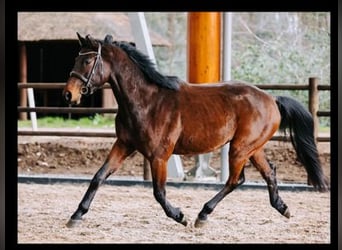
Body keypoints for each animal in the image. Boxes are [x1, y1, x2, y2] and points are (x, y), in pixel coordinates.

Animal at [61, 33, 328, 229]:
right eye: (75, 59)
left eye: (87, 61)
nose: (68, 94)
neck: (146, 101)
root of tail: (272, 99)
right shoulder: (124, 145)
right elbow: (98, 177)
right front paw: (76, 215)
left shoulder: (159, 156)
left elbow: (159, 192)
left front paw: (180, 216)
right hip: (253, 148)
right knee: (268, 173)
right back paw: (283, 208)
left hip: (240, 148)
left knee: (236, 179)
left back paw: (203, 214)